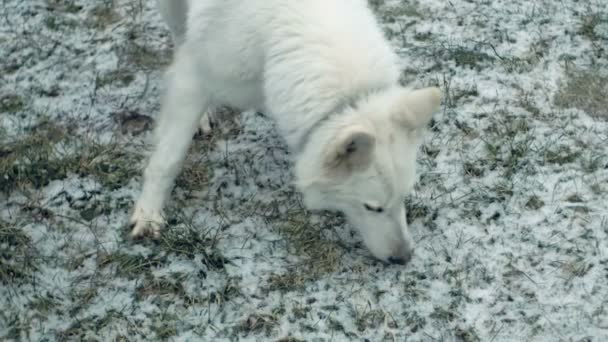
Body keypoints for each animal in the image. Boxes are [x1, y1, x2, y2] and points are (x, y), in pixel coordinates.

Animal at [129, 0, 442, 264]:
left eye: (404, 198)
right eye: (372, 208)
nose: (404, 258)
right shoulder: (194, 79)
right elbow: (167, 159)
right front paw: (148, 214)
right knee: (180, 36)